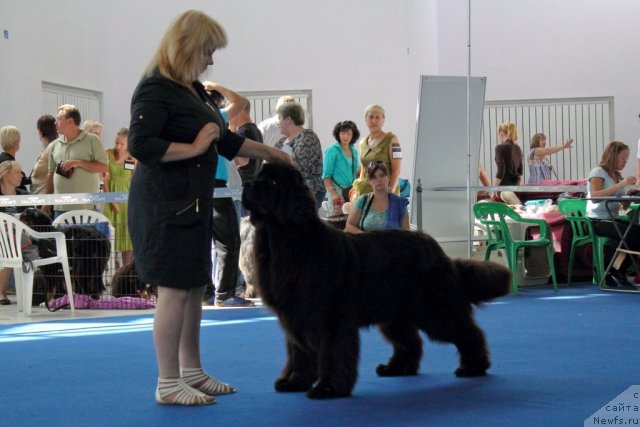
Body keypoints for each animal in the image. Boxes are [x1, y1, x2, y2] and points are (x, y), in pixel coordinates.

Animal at [242, 163, 512, 402]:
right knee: (410, 341)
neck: (286, 240)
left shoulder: (331, 319)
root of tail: (438, 250)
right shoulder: (295, 315)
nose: (246, 184)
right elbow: (299, 354)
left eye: (272, 182)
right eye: (259, 176)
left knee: (467, 332)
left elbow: (331, 353)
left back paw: (473, 367)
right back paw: (397, 369)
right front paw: (295, 382)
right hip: (395, 314)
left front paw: (328, 388)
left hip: (435, 310)